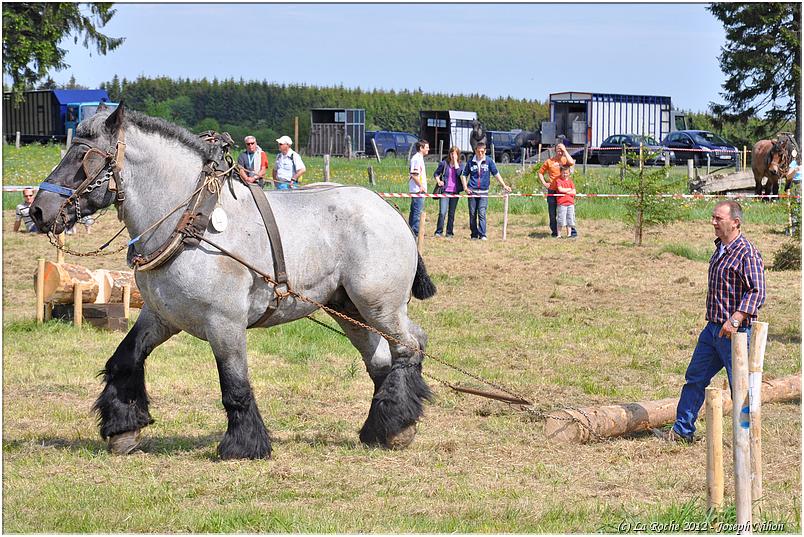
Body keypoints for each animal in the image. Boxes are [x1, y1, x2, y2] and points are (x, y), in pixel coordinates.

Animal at [28, 105, 436, 460]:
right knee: (381, 359)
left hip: (378, 305)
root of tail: (389, 209)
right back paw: (383, 427)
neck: (190, 220)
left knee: (410, 345)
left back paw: (397, 423)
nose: (38, 210)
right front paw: (123, 429)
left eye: (84, 159)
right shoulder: (161, 318)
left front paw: (244, 445)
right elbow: (125, 359)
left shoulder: (224, 323)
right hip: (347, 309)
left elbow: (235, 386)